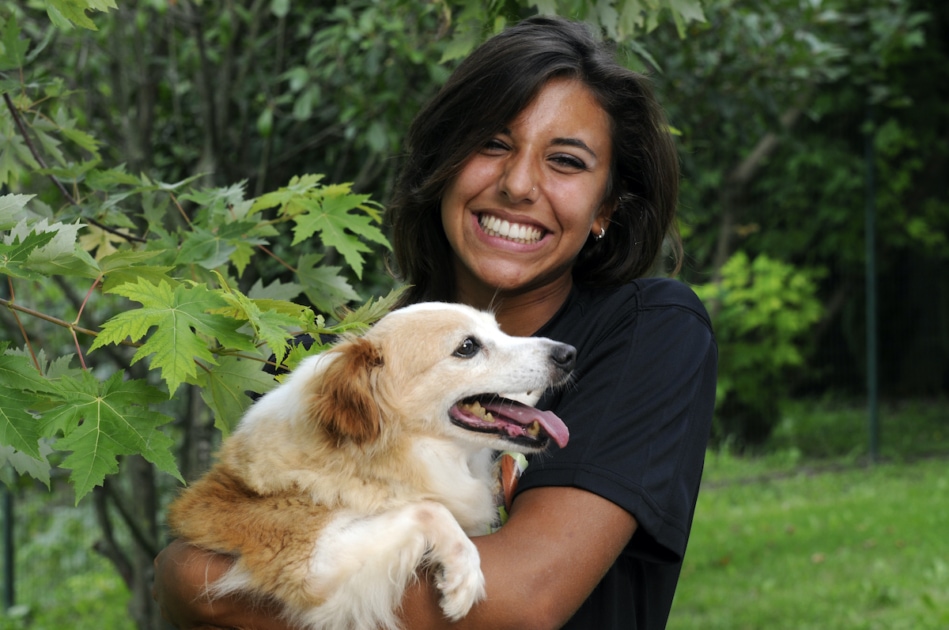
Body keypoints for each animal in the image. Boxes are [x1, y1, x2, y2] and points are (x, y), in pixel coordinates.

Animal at [167, 304, 572, 628]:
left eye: (500, 329)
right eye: (467, 347)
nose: (568, 353)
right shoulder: (309, 562)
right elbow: (428, 509)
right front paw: (463, 573)